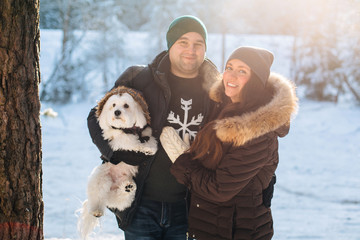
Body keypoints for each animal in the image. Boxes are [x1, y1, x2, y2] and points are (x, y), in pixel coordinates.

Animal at [78, 86, 157, 238]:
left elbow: (147, 135)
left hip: (127, 194)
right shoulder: (115, 138)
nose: (117, 112)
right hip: (100, 178)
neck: (127, 128)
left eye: (126, 105)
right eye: (113, 105)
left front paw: (150, 145)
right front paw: (146, 148)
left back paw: (127, 187)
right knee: (97, 198)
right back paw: (97, 210)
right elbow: (129, 141)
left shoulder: (144, 130)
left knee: (120, 200)